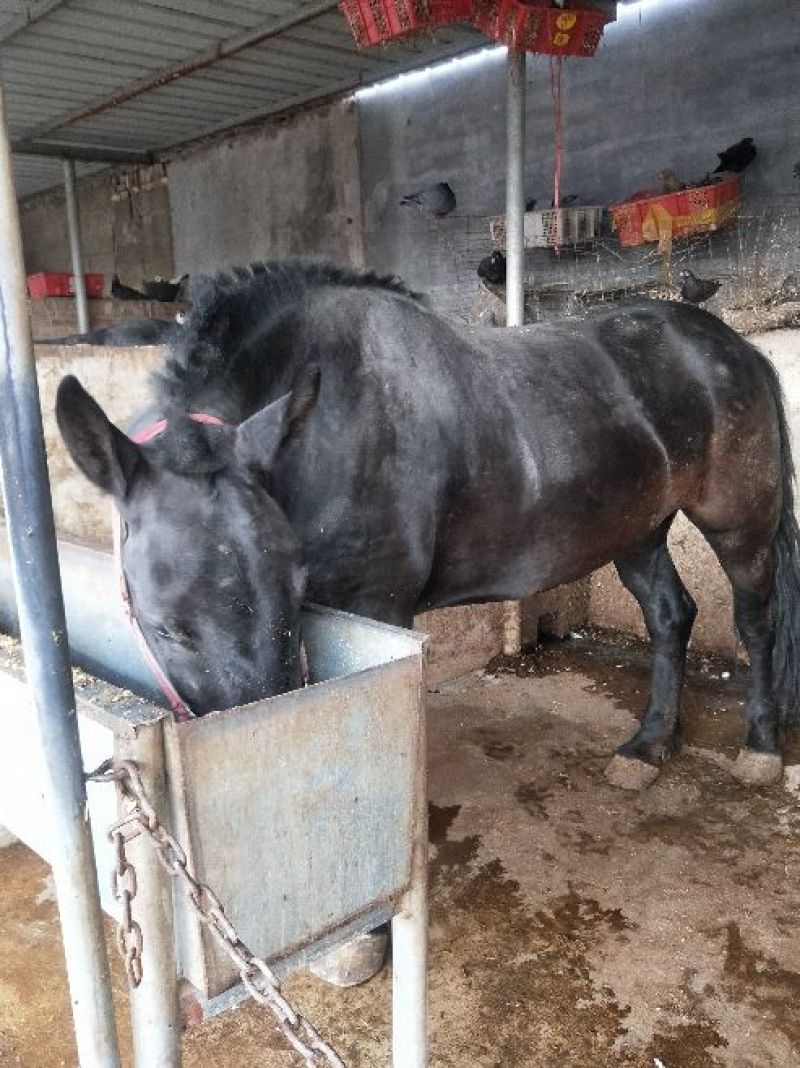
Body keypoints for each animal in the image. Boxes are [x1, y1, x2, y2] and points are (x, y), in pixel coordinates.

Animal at [56, 260, 800, 795]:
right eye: (167, 626)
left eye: (291, 587)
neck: (325, 428)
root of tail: (735, 347)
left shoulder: (379, 609)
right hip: (638, 528)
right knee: (672, 616)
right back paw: (650, 746)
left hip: (739, 523)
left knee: (757, 622)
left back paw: (760, 746)